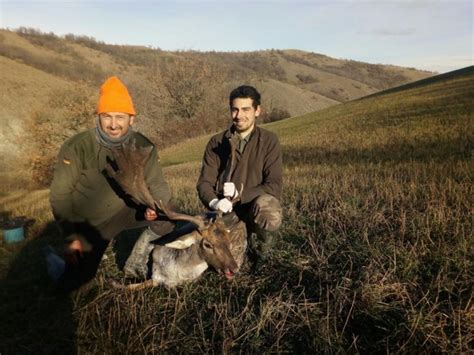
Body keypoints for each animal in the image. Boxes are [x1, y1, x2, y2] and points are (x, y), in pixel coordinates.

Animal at [105, 138, 246, 290]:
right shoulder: (155, 276)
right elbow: (130, 287)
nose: (234, 268)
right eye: (207, 244)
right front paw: (112, 281)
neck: (179, 274)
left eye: (228, 239)